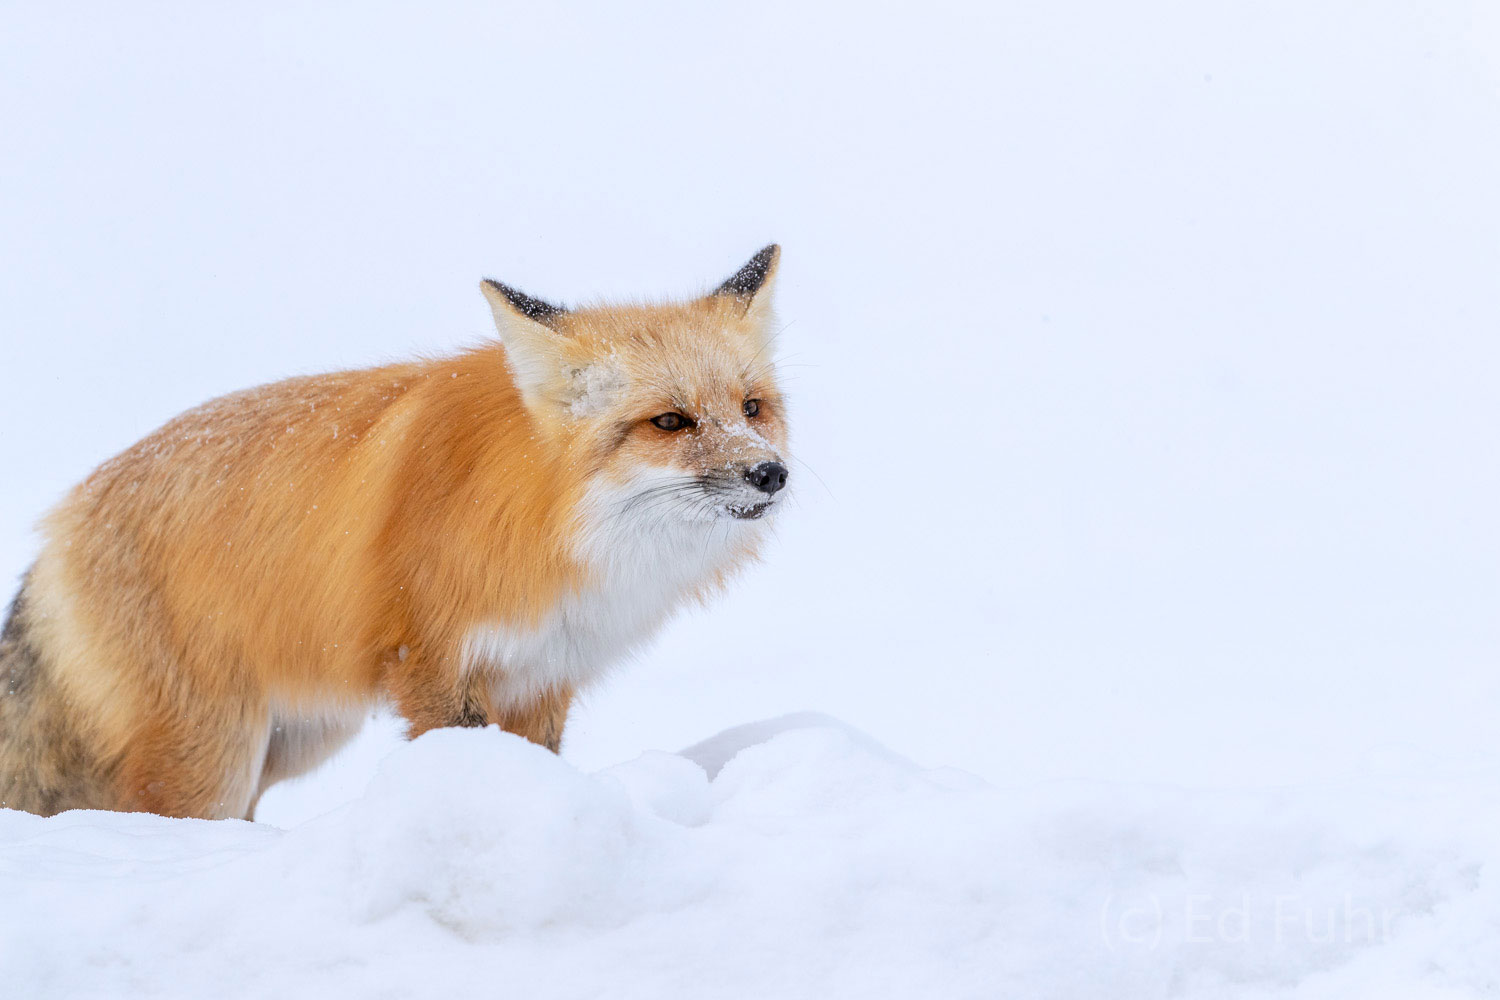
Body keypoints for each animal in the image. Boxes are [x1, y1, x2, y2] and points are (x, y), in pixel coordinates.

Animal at [0, 245, 792, 815]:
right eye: (671, 421)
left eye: (751, 408)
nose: (771, 474)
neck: (550, 523)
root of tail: (60, 522)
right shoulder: (432, 663)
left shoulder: (541, 675)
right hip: (210, 757)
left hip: (298, 739)